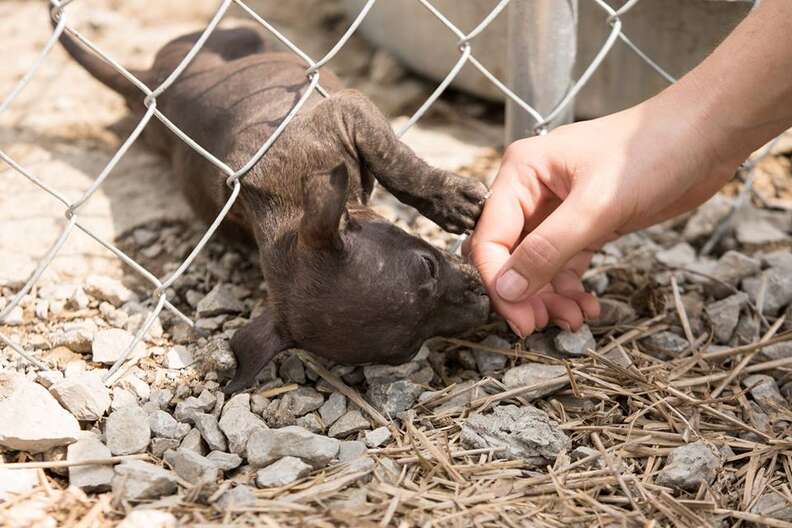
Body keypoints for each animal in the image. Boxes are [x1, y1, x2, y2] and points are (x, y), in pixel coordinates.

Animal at [55, 20, 488, 394]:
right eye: (407, 352)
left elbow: (395, 161)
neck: (279, 208)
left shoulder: (348, 111)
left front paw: (450, 200)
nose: (484, 302)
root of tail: (153, 78)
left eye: (427, 266)